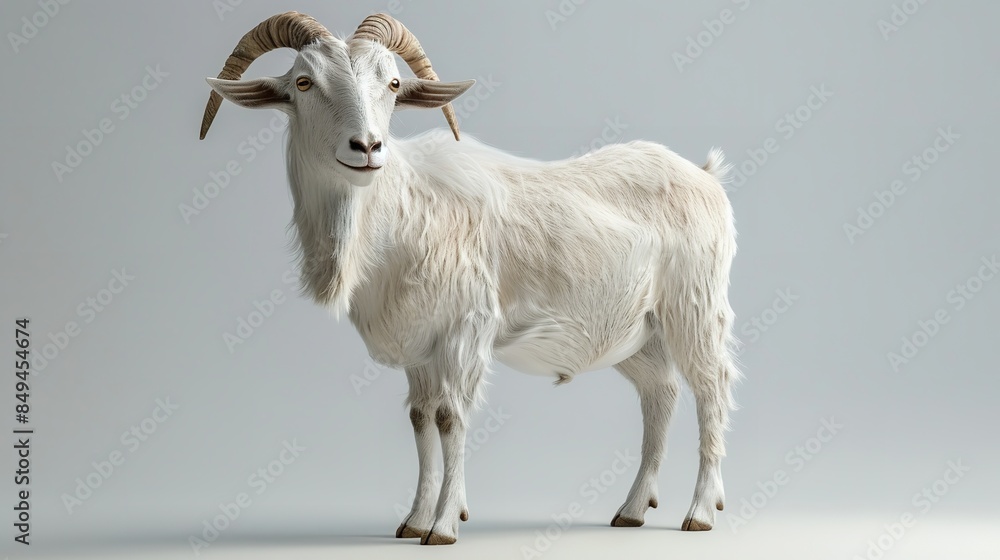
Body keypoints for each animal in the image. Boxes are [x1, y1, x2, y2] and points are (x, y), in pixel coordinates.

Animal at [199, 11, 740, 545]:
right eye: (304, 82)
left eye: (393, 84)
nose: (368, 147)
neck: (400, 214)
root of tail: (706, 176)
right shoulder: (420, 346)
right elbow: (420, 419)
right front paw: (414, 521)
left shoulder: (466, 329)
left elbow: (449, 417)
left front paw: (443, 525)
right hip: (639, 331)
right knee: (661, 395)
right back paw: (631, 510)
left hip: (694, 305)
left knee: (710, 388)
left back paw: (700, 512)